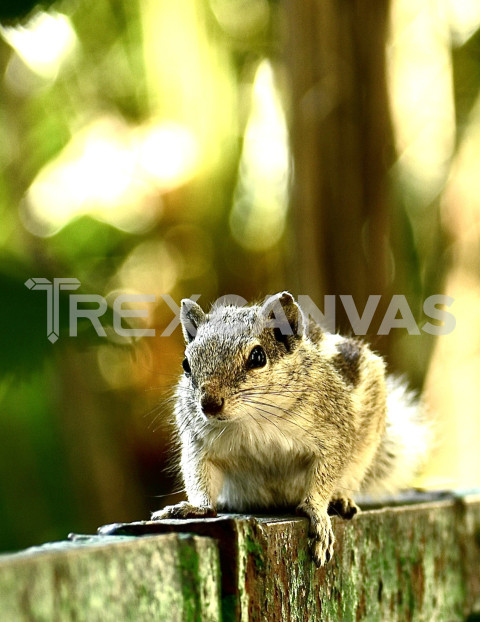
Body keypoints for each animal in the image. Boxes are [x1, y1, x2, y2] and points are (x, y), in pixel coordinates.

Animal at [154, 292, 432, 564]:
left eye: (258, 357)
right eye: (186, 364)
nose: (209, 404)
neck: (252, 420)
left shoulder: (334, 435)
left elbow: (324, 476)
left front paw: (317, 513)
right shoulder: (199, 445)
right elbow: (199, 474)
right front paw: (196, 507)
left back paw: (340, 499)